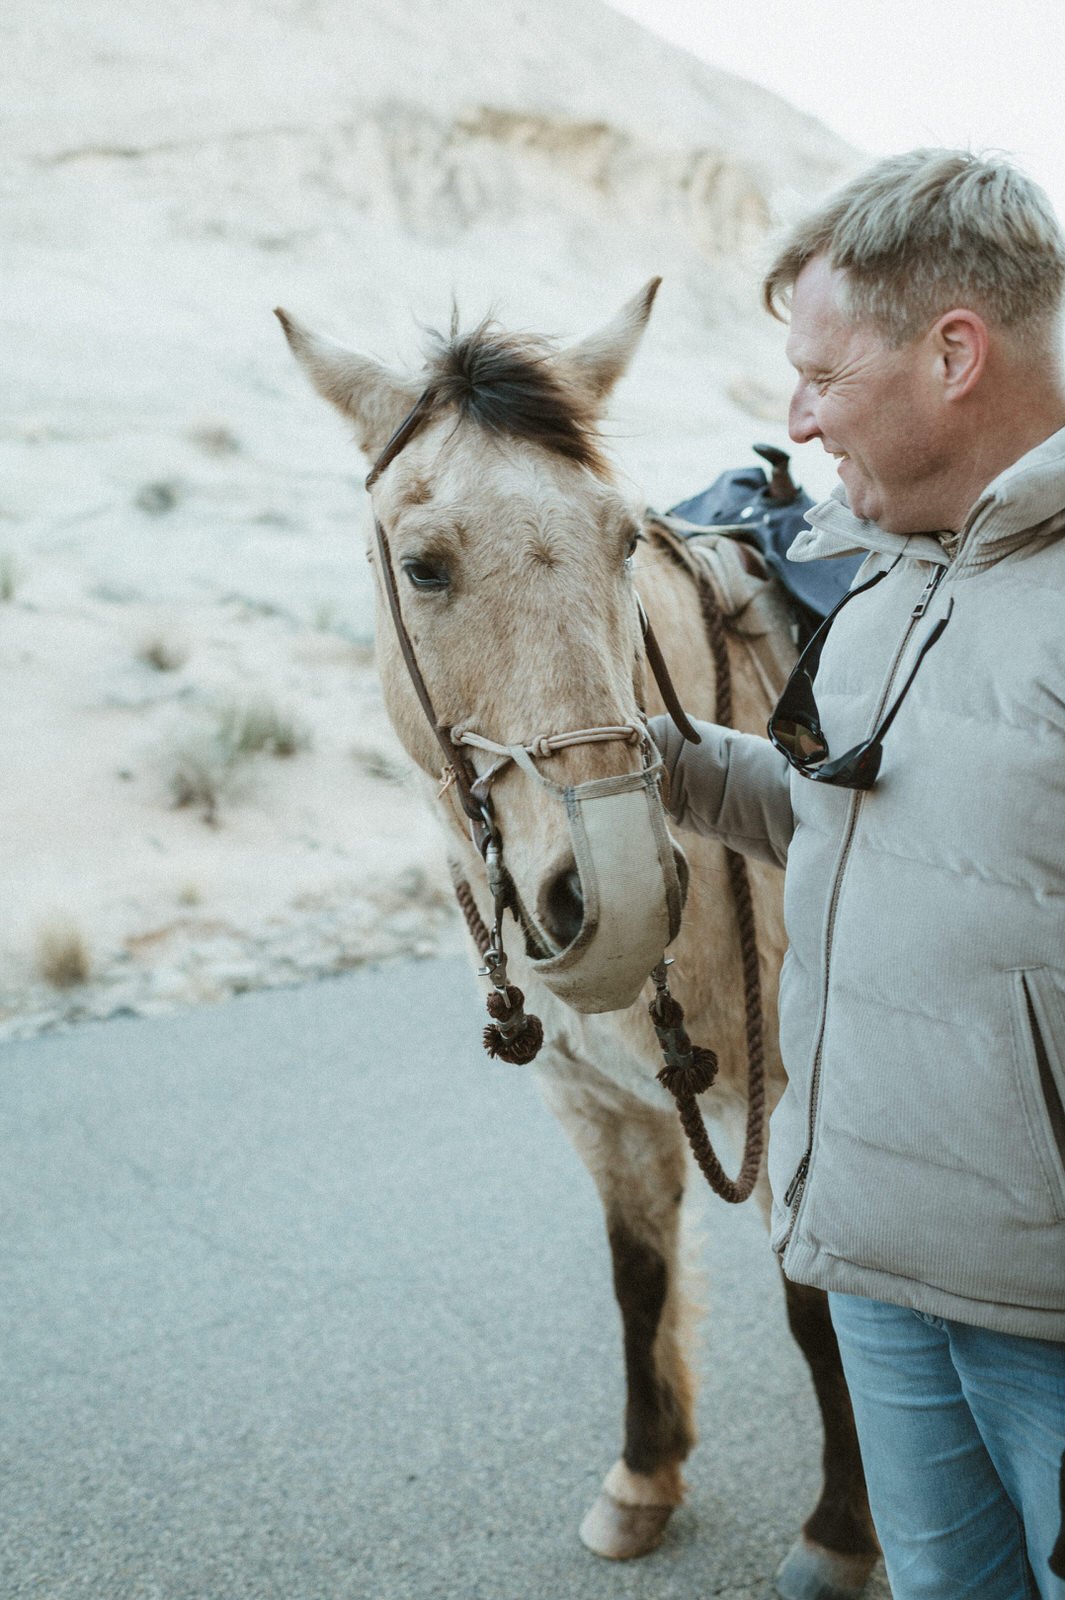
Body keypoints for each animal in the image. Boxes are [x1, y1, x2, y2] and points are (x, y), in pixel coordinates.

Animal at [278, 281, 876, 1593]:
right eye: (423, 566)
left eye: (623, 544)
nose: (608, 885)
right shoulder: (597, 1108)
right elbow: (635, 1277)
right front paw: (643, 1478)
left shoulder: (801, 1101)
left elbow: (821, 1309)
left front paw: (843, 1530)